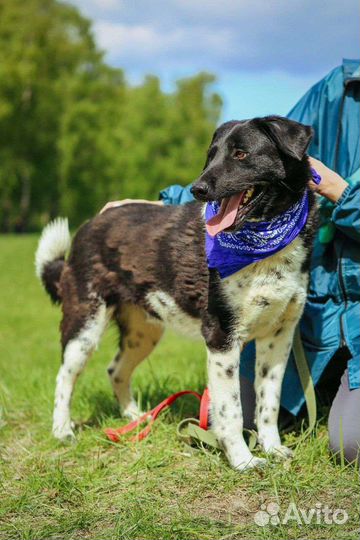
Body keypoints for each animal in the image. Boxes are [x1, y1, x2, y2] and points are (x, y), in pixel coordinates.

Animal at [36, 116, 316, 470]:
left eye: (241, 154)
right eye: (211, 155)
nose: (198, 189)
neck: (264, 239)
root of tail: (89, 225)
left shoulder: (279, 336)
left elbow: (269, 404)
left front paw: (272, 448)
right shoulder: (222, 338)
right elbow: (232, 411)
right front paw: (242, 461)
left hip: (144, 331)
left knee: (115, 370)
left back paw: (135, 418)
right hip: (84, 325)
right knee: (64, 378)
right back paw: (63, 431)